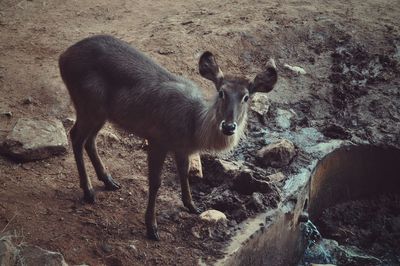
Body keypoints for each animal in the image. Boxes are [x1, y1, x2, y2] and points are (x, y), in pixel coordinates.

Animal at [58, 34, 278, 240]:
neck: (193, 125)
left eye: (246, 97)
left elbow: (184, 173)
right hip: (88, 104)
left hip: (101, 112)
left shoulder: (182, 149)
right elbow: (156, 182)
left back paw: (109, 182)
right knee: (76, 136)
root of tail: (63, 57)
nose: (229, 126)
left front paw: (192, 206)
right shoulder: (157, 140)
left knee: (89, 140)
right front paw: (152, 228)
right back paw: (88, 192)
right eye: (222, 93)